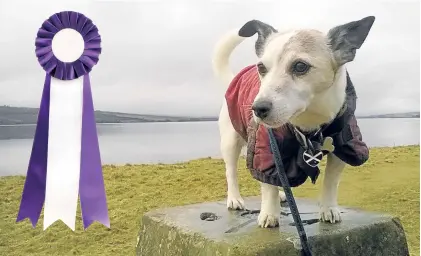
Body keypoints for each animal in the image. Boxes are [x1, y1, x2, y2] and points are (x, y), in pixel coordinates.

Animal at [212, 16, 372, 228]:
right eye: (261, 68)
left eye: (300, 66)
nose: (257, 108)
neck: (309, 120)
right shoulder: (266, 151)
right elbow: (267, 185)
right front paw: (269, 213)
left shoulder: (344, 147)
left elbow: (330, 181)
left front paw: (328, 208)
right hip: (230, 142)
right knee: (231, 172)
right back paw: (235, 198)